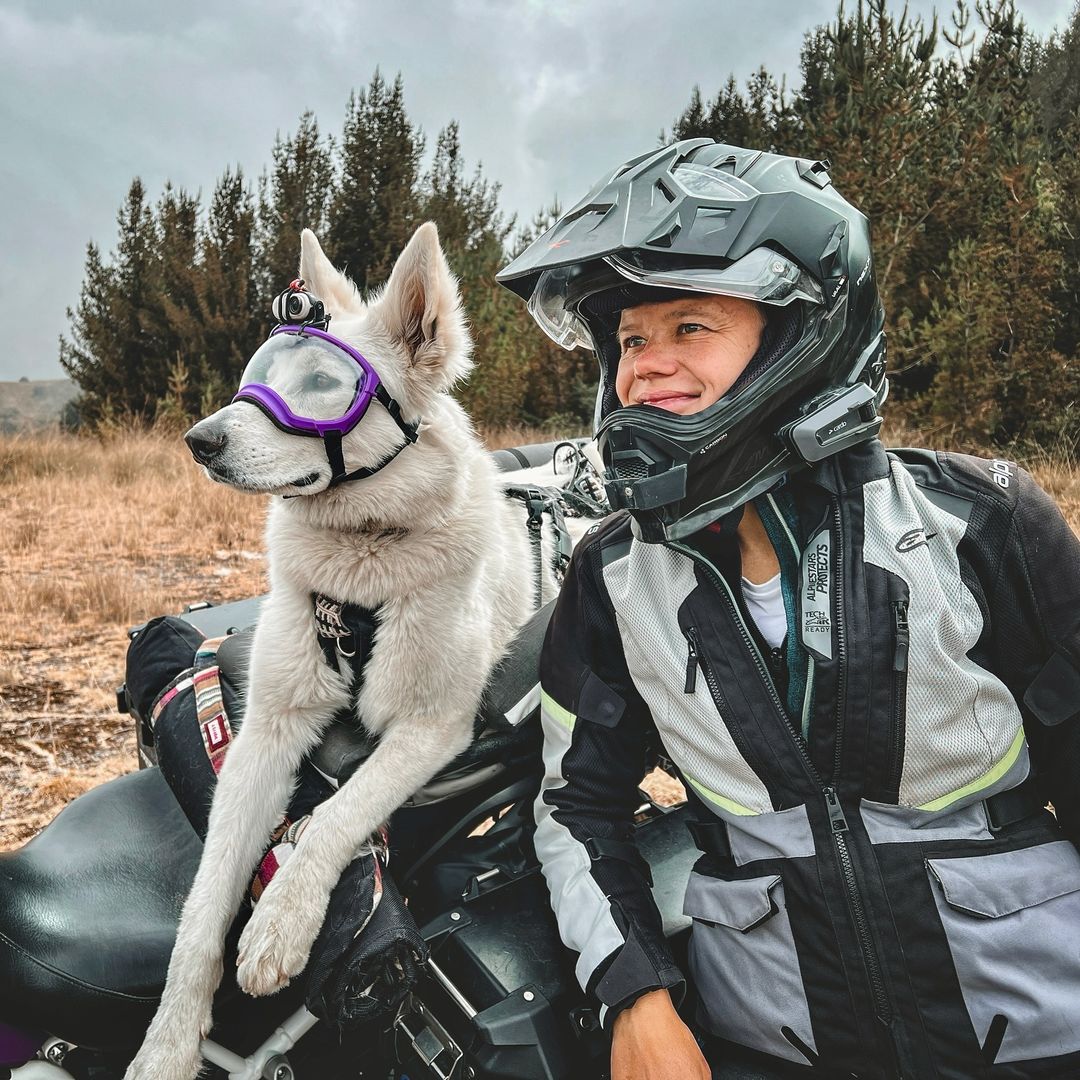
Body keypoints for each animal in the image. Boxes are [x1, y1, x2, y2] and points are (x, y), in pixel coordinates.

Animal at [124, 223, 557, 1075]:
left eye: (324, 381)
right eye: (260, 374)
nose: (199, 441)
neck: (363, 558)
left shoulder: (430, 729)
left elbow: (334, 815)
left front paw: (281, 921)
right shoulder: (264, 732)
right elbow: (206, 899)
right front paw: (168, 1042)